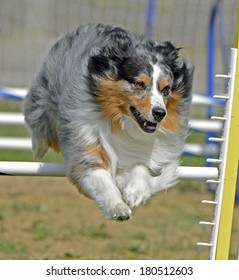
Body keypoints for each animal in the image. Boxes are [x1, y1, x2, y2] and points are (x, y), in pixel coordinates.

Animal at [23, 23, 192, 221]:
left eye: (165, 89)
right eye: (139, 84)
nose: (160, 113)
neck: (121, 123)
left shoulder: (137, 152)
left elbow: (140, 168)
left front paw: (136, 193)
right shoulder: (87, 143)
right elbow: (101, 180)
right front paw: (118, 208)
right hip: (46, 98)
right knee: (39, 122)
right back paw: (38, 149)